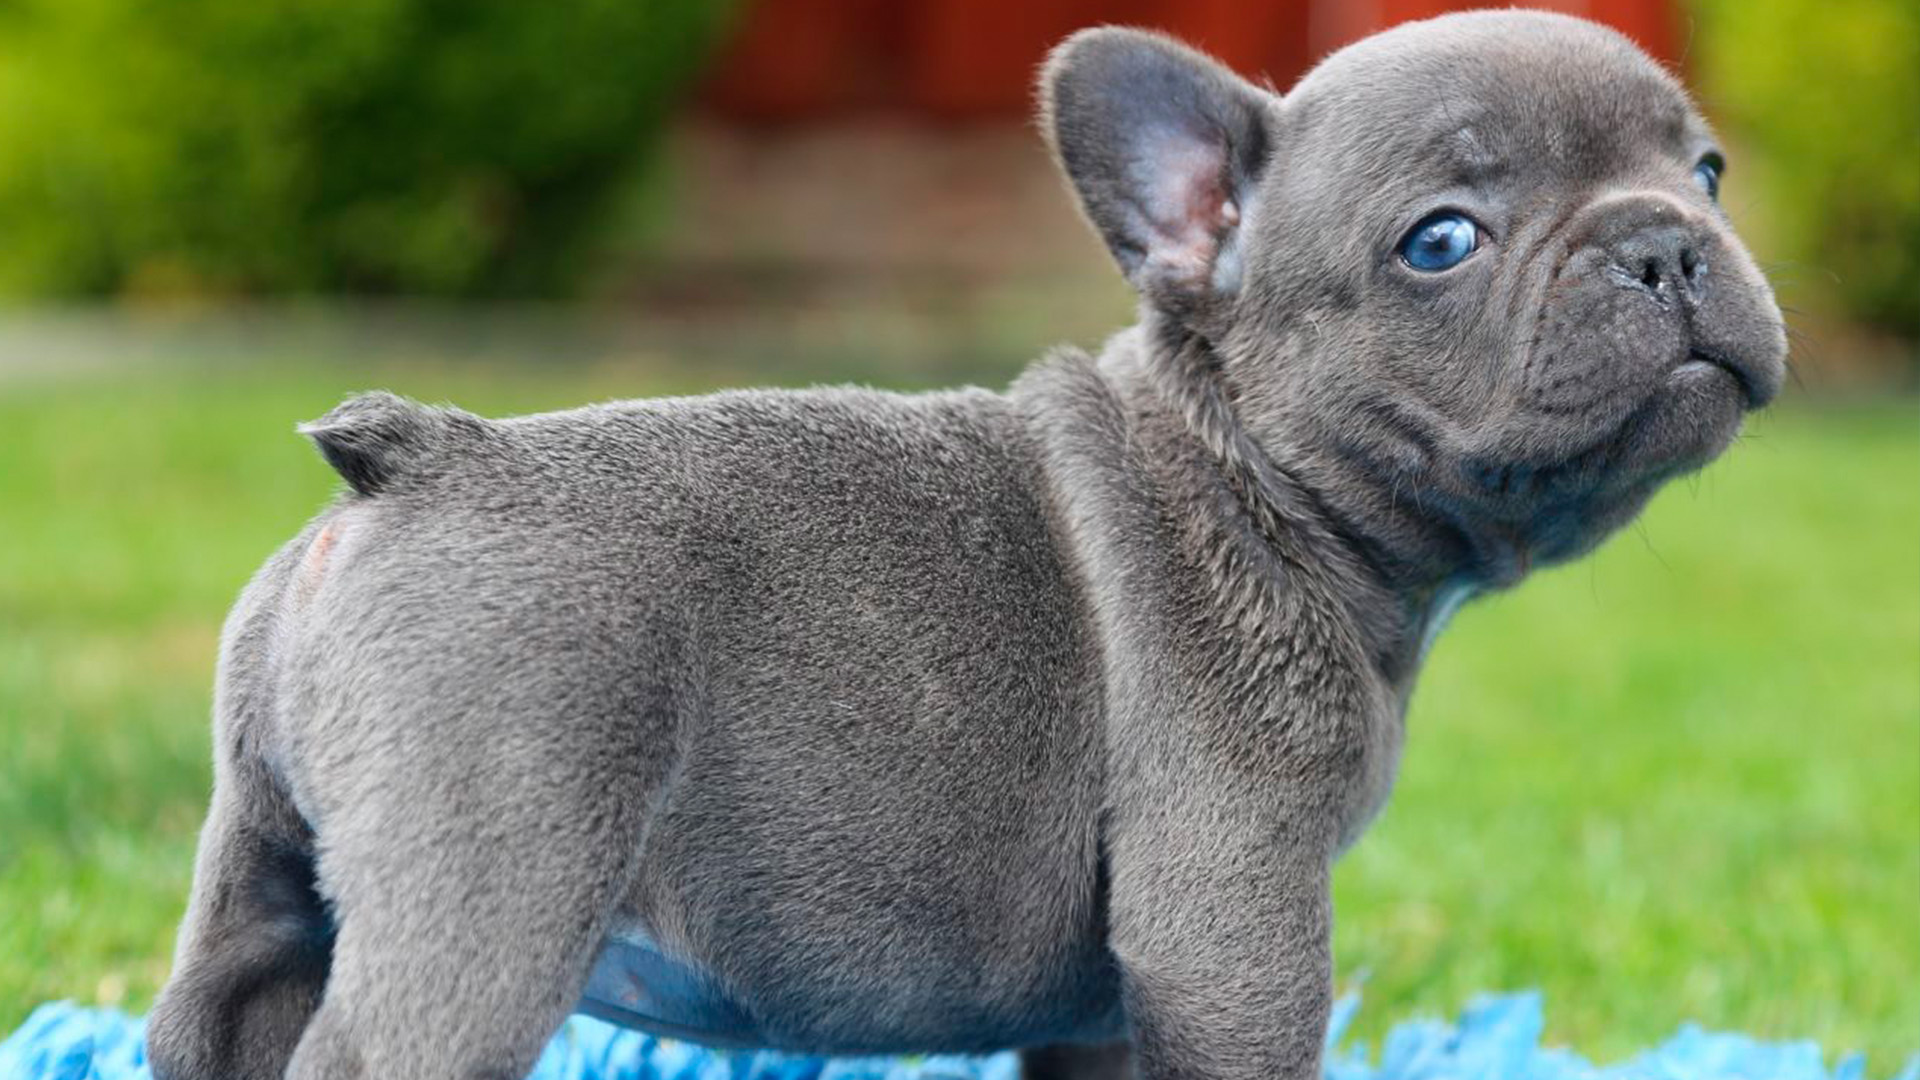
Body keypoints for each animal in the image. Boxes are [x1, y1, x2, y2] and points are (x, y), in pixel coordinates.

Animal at [145, 10, 1781, 1076]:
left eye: (1706, 172)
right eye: (1442, 241)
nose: (1664, 243)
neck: (1250, 476)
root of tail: (419, 459)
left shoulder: (1113, 1004)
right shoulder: (1232, 913)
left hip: (261, 890)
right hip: (497, 877)